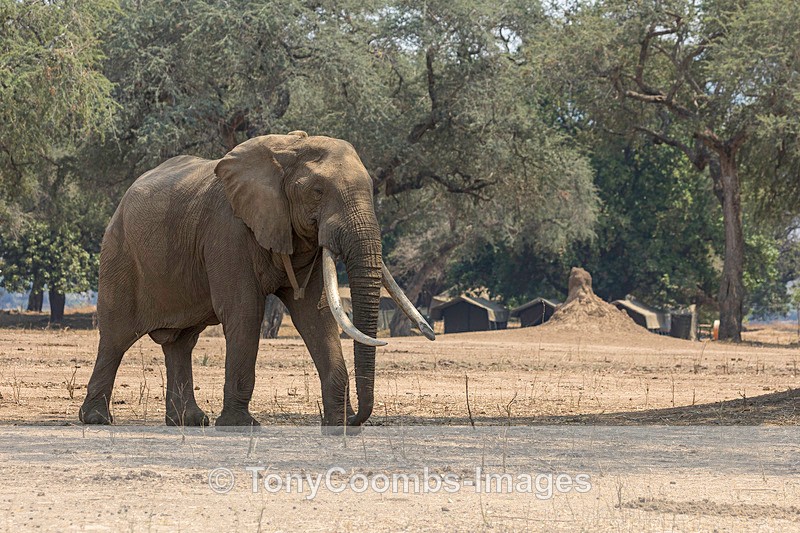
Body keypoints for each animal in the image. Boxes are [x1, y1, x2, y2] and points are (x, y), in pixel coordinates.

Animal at [78, 131, 434, 432]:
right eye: (317, 192)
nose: (356, 418)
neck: (288, 150)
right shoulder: (227, 230)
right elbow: (245, 311)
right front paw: (240, 425)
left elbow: (315, 315)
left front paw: (337, 425)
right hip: (120, 254)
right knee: (116, 336)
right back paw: (96, 419)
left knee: (181, 342)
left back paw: (189, 421)